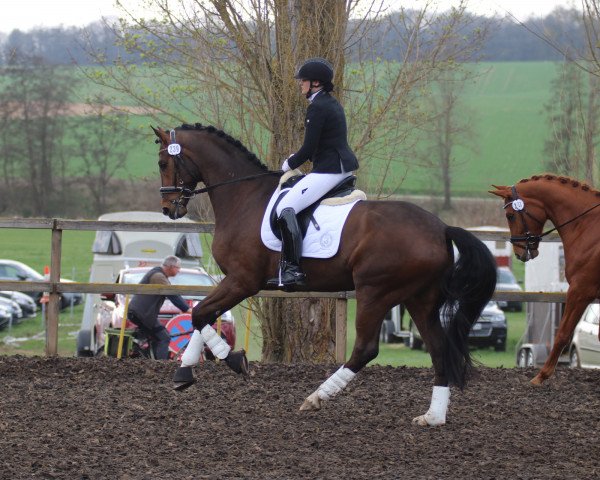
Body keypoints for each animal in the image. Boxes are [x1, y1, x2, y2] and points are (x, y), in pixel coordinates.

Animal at [152, 124, 494, 428]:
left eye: (163, 163)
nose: (169, 209)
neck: (243, 197)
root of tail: (441, 229)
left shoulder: (242, 281)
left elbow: (200, 313)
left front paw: (234, 362)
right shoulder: (237, 282)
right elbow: (202, 315)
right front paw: (184, 373)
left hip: (376, 292)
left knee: (365, 349)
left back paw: (315, 398)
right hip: (419, 298)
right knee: (438, 348)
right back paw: (433, 417)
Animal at [490, 174, 600, 384]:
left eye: (510, 215)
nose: (519, 253)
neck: (588, 227)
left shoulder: (579, 291)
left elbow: (563, 334)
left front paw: (541, 376)